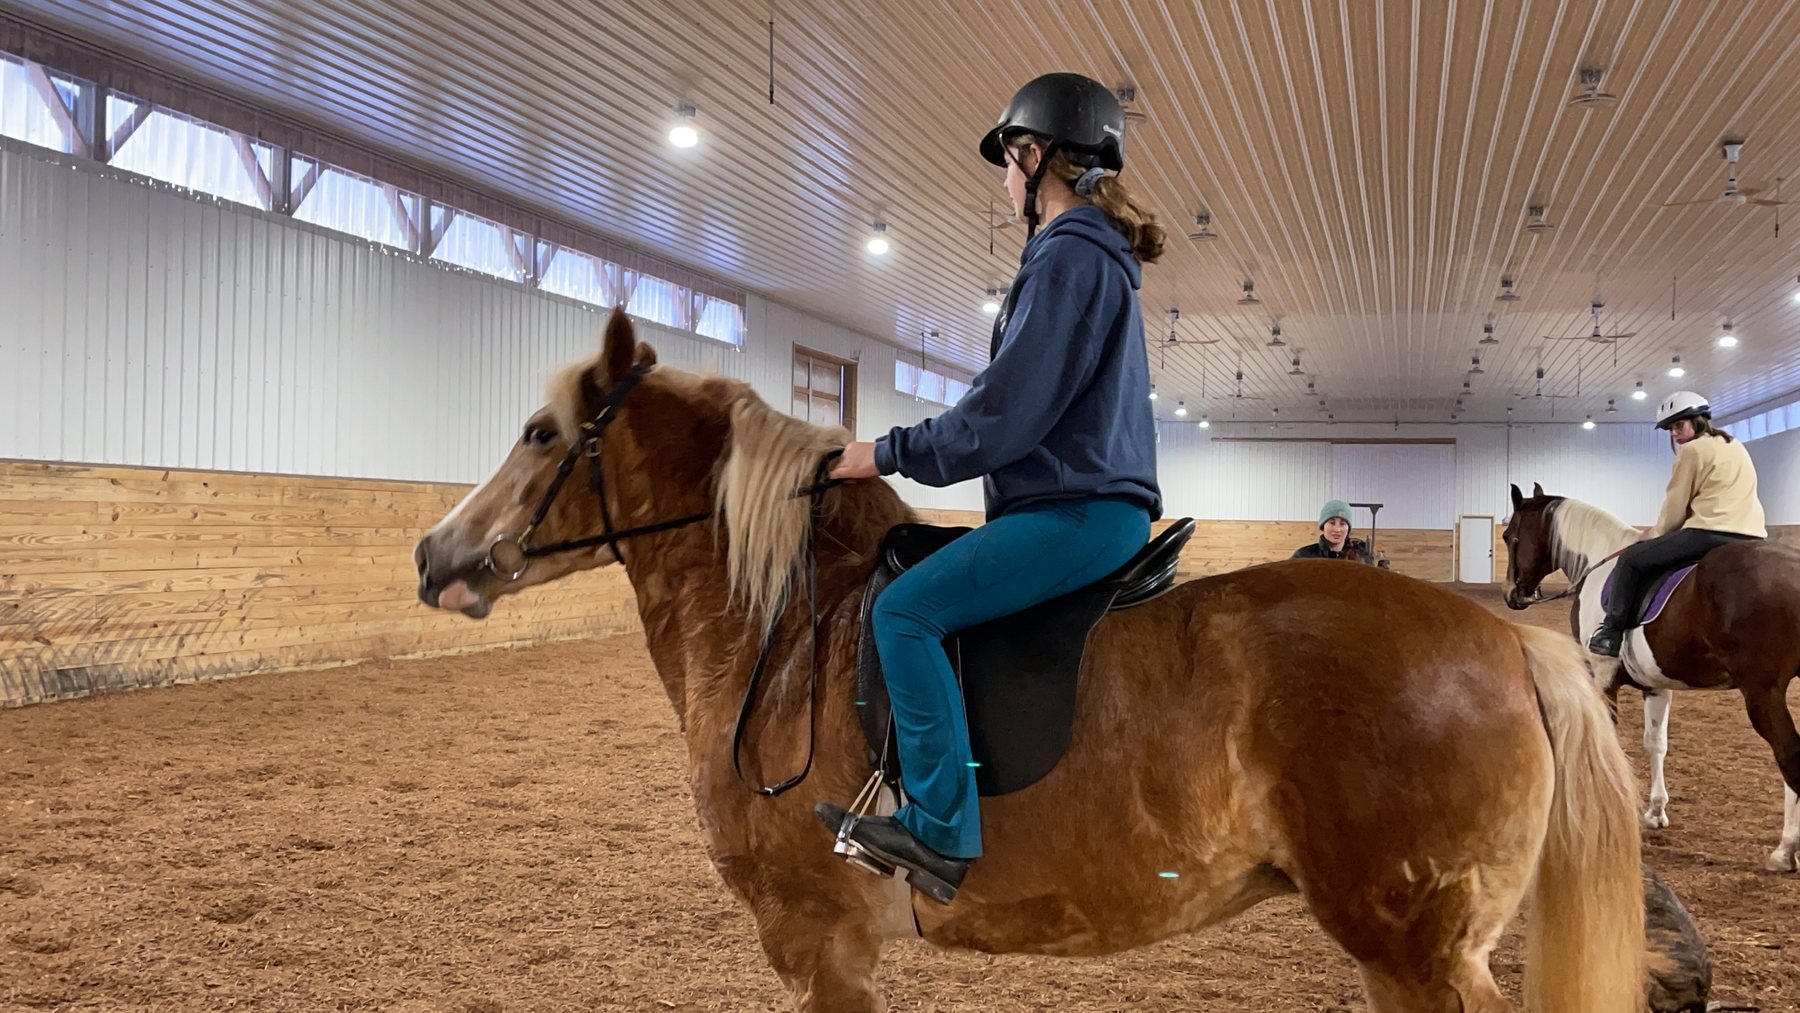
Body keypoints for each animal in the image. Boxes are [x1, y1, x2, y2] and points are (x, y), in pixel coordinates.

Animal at [413, 312, 1646, 1012]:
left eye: (540, 433)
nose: (434, 554)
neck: (788, 634)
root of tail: (1504, 639)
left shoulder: (819, 941)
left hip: (1419, 951)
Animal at [1502, 482, 1800, 872]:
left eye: (1508, 535)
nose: (1512, 594)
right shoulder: (1655, 685)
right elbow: (1656, 743)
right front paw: (1655, 813)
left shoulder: (1601, 676)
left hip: (1762, 693)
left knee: (1788, 753)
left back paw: (1786, 850)